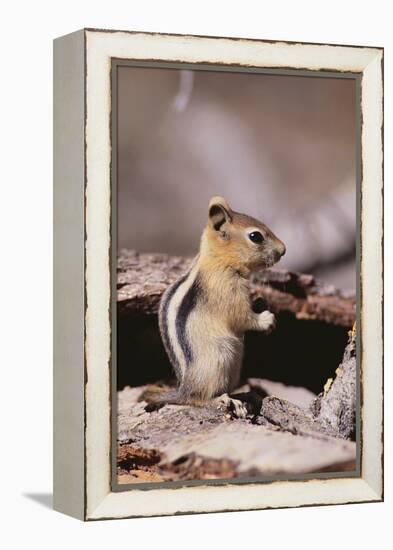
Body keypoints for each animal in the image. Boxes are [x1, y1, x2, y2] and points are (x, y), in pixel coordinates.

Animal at [141, 198, 284, 418]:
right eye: (256, 236)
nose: (284, 250)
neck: (218, 261)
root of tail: (184, 389)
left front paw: (261, 301)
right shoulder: (227, 293)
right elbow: (242, 317)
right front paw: (266, 319)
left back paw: (246, 395)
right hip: (220, 359)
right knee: (198, 399)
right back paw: (225, 400)